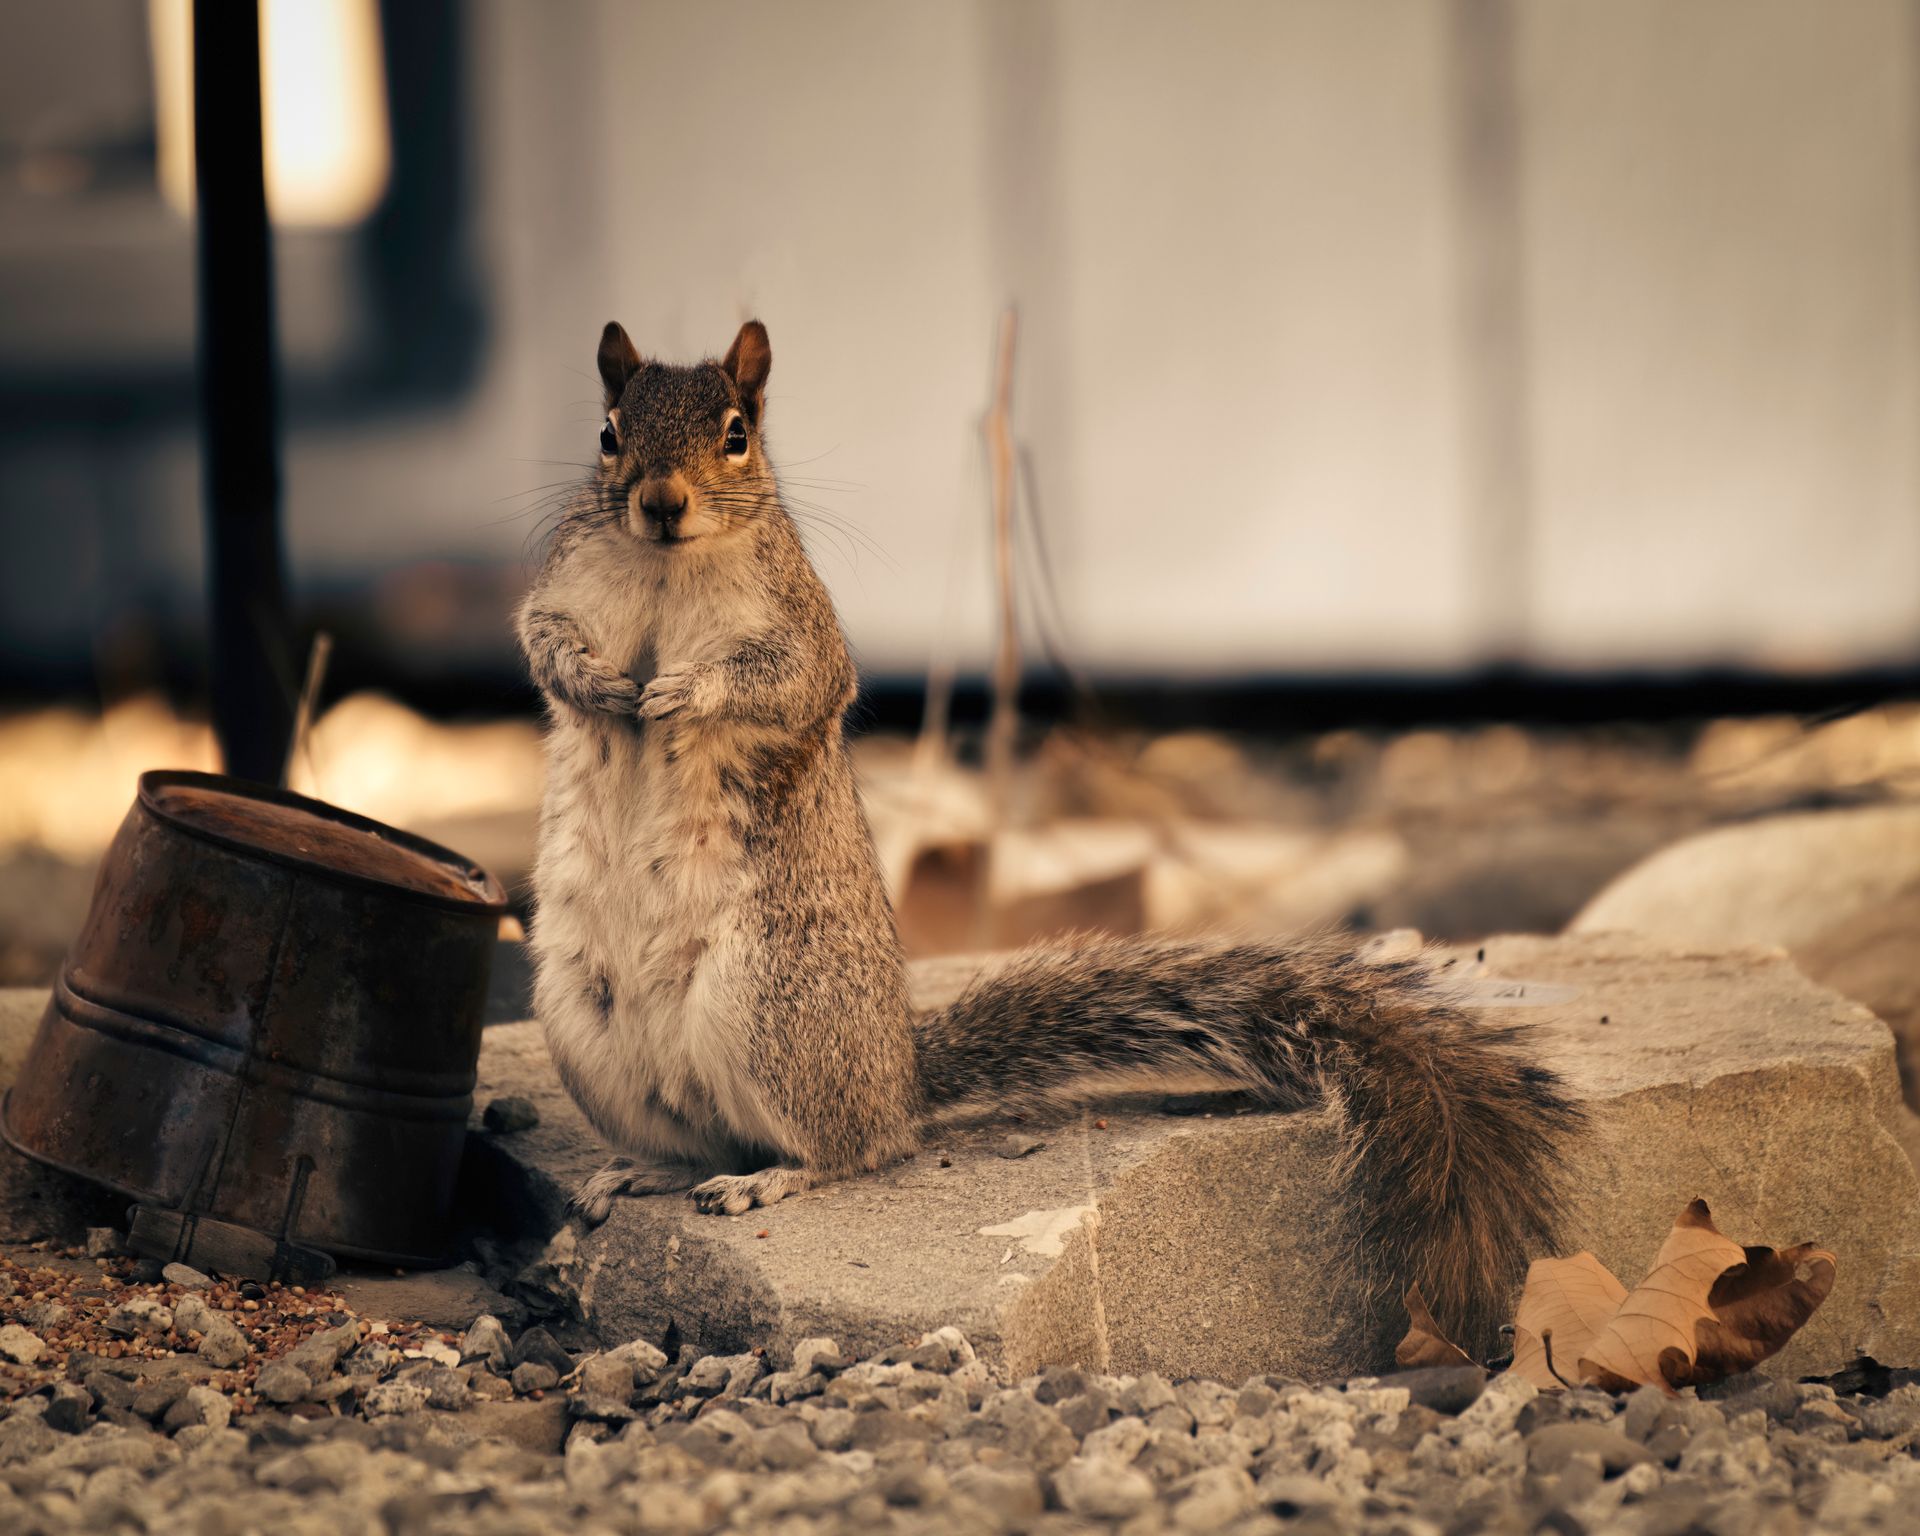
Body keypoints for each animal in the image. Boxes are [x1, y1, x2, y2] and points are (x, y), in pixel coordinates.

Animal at [514, 318, 1581, 1358]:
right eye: (608, 431)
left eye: (737, 433)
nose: (660, 502)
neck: (666, 565)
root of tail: (899, 1078)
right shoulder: (564, 587)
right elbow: (544, 639)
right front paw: (594, 681)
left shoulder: (799, 633)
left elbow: (775, 681)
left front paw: (680, 691)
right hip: (589, 1031)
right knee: (708, 1138)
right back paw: (641, 1174)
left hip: (770, 1011)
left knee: (848, 1149)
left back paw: (769, 1178)